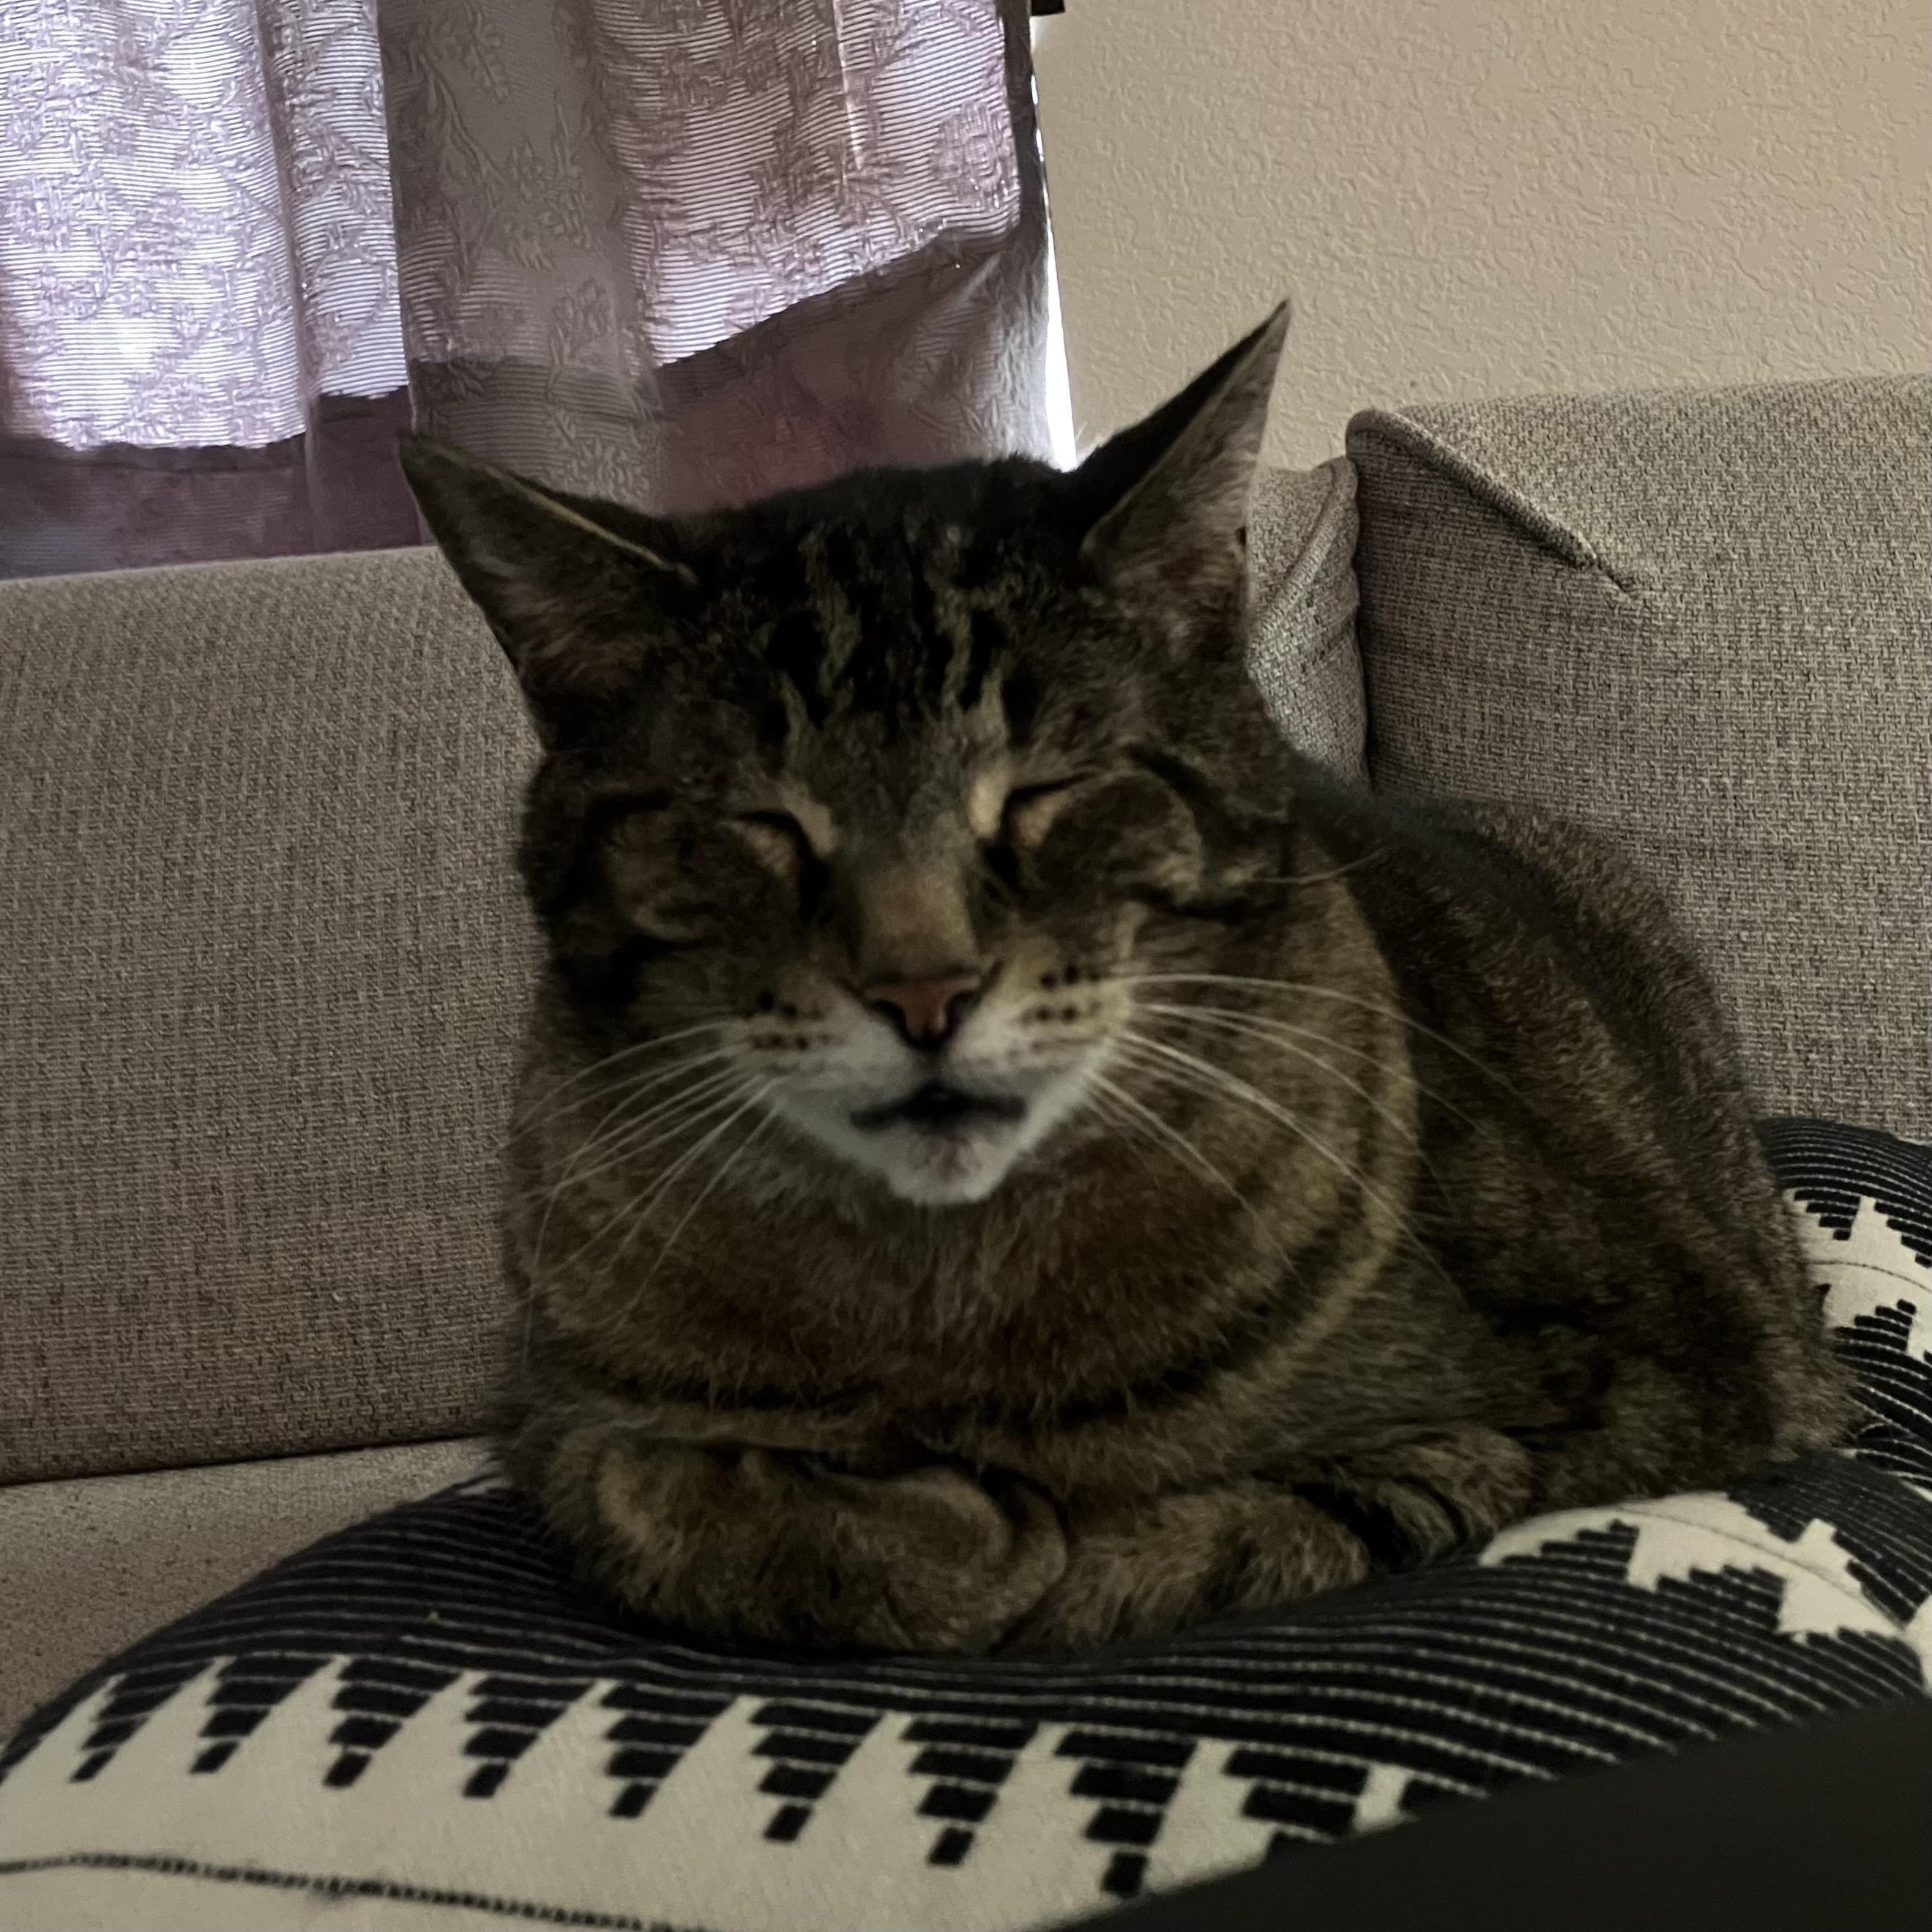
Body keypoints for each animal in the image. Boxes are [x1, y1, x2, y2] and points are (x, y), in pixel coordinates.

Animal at [400, 309, 1846, 1653]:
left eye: (1046, 789)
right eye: (761, 822)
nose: (922, 991)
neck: (936, 1307)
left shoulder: (1609, 1400)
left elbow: (1176, 1543)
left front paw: (988, 1522)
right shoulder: (543, 1411)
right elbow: (642, 1492)